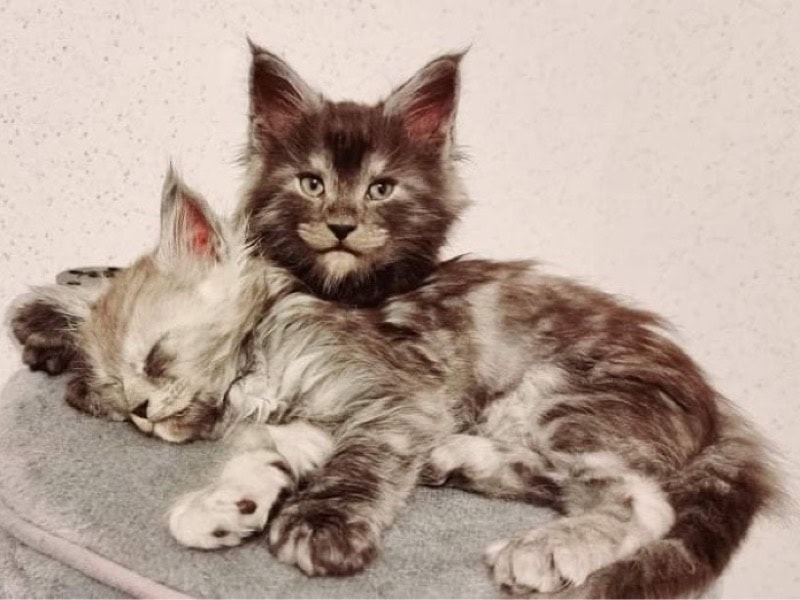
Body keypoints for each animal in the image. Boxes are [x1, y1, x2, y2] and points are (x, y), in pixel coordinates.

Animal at [14, 165, 780, 600]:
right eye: (118, 396)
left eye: (156, 360)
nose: (142, 413)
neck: (261, 357)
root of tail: (719, 410)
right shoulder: (304, 426)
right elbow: (256, 463)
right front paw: (226, 506)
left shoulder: (396, 398)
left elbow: (358, 468)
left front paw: (321, 525)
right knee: (555, 481)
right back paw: (453, 461)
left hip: (558, 397)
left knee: (642, 505)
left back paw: (544, 550)